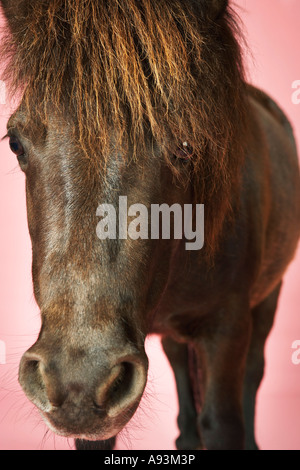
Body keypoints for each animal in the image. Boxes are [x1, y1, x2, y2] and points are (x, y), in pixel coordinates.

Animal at [0, 0, 300, 452]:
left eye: (187, 146)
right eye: (16, 143)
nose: (78, 381)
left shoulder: (228, 327)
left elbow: (223, 420)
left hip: (269, 297)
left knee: (254, 370)